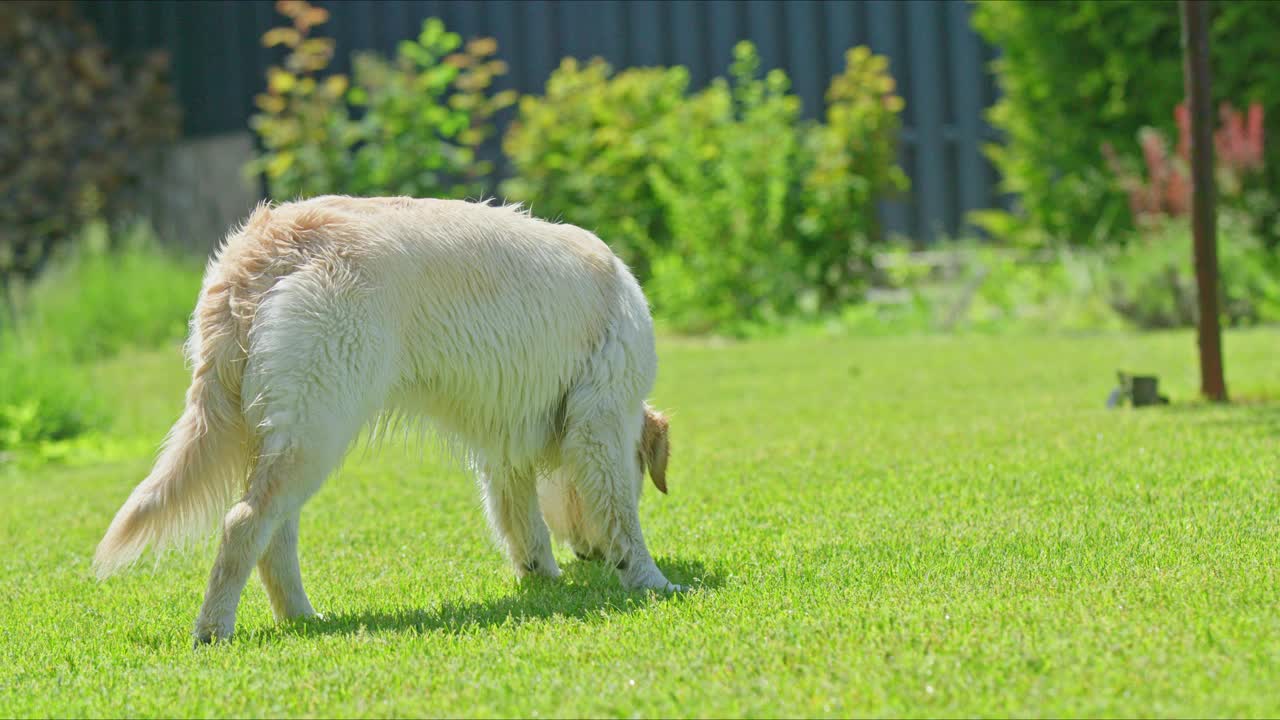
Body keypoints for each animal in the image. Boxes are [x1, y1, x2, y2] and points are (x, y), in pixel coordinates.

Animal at [92, 193, 680, 640]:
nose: (591, 557)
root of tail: (265, 245)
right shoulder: (601, 421)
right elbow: (622, 516)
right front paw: (652, 580)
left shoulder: (503, 446)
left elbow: (523, 521)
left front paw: (543, 576)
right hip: (319, 429)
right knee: (242, 523)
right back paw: (214, 630)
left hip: (289, 436)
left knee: (272, 535)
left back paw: (302, 618)